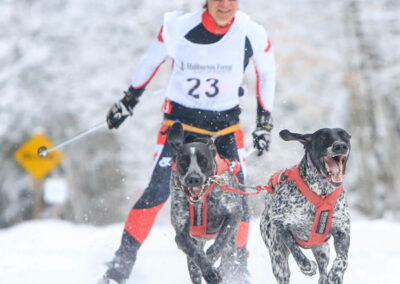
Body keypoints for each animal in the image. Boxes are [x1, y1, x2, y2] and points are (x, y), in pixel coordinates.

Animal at [167, 122, 245, 284]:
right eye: (183, 162)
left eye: (204, 161)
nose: (193, 179)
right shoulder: (181, 234)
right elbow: (197, 255)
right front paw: (209, 270)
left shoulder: (234, 213)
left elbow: (221, 240)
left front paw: (212, 258)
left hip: (230, 251)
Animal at [260, 129, 350, 284]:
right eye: (323, 136)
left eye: (345, 135)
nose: (340, 146)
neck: (321, 193)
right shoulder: (280, 224)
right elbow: (296, 251)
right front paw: (308, 267)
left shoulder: (342, 230)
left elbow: (342, 259)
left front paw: (336, 273)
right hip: (278, 259)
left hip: (322, 250)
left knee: (323, 272)